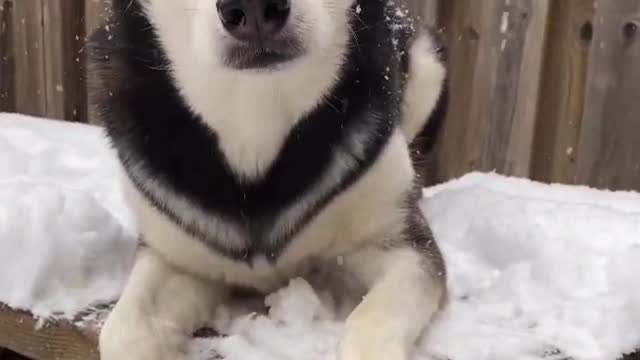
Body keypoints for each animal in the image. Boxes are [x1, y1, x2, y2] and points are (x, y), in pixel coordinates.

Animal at [90, 0, 450, 358]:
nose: (252, 8)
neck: (256, 114)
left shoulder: (395, 239)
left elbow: (373, 318)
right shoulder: (173, 253)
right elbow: (121, 332)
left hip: (429, 61)